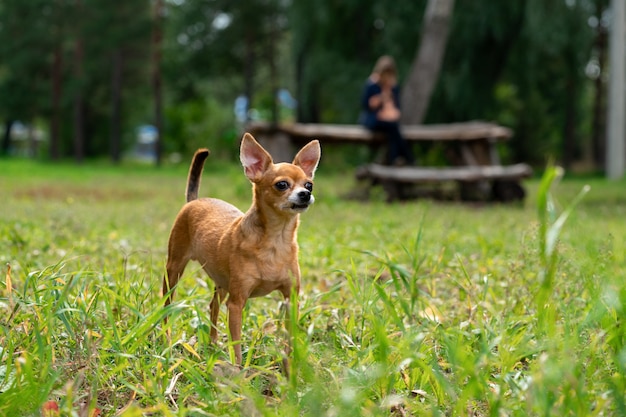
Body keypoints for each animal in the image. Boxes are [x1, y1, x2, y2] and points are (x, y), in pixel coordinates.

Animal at [163, 132, 320, 364]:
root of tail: (195, 201)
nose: (305, 194)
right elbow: (236, 346)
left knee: (213, 305)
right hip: (174, 270)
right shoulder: (236, 304)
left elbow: (289, 339)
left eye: (309, 185)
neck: (276, 240)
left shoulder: (290, 300)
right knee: (166, 305)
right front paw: (239, 370)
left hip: (222, 283)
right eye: (282, 185)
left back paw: (212, 344)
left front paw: (290, 365)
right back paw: (166, 337)